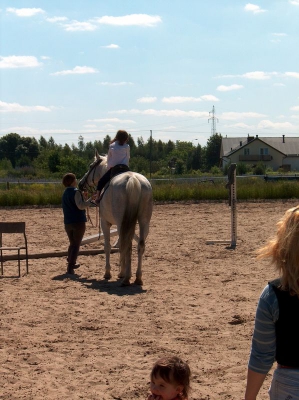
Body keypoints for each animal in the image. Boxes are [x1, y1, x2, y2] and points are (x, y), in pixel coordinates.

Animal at [78, 149, 154, 284]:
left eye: (91, 166)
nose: (80, 184)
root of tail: (132, 179)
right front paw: (121, 272)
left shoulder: (105, 223)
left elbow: (107, 247)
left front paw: (108, 273)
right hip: (144, 222)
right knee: (140, 245)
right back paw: (137, 277)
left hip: (121, 223)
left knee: (127, 245)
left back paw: (127, 277)